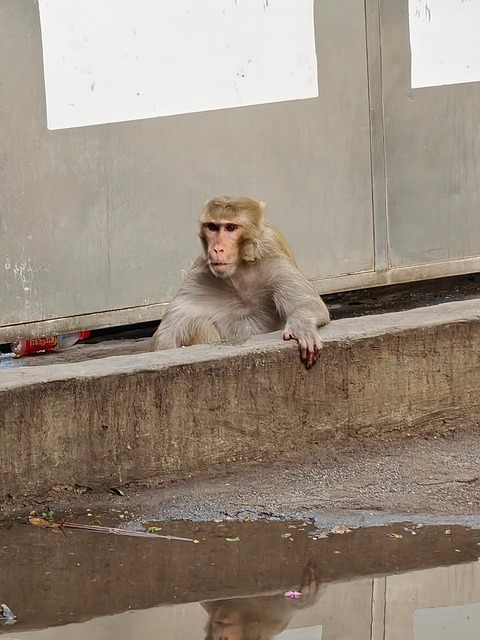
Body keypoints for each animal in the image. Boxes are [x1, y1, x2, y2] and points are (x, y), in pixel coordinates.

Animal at [151, 196, 330, 368]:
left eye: (230, 228)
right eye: (213, 227)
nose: (217, 249)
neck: (238, 272)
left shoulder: (273, 262)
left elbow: (310, 304)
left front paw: (301, 327)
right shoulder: (199, 278)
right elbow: (167, 332)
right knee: (198, 322)